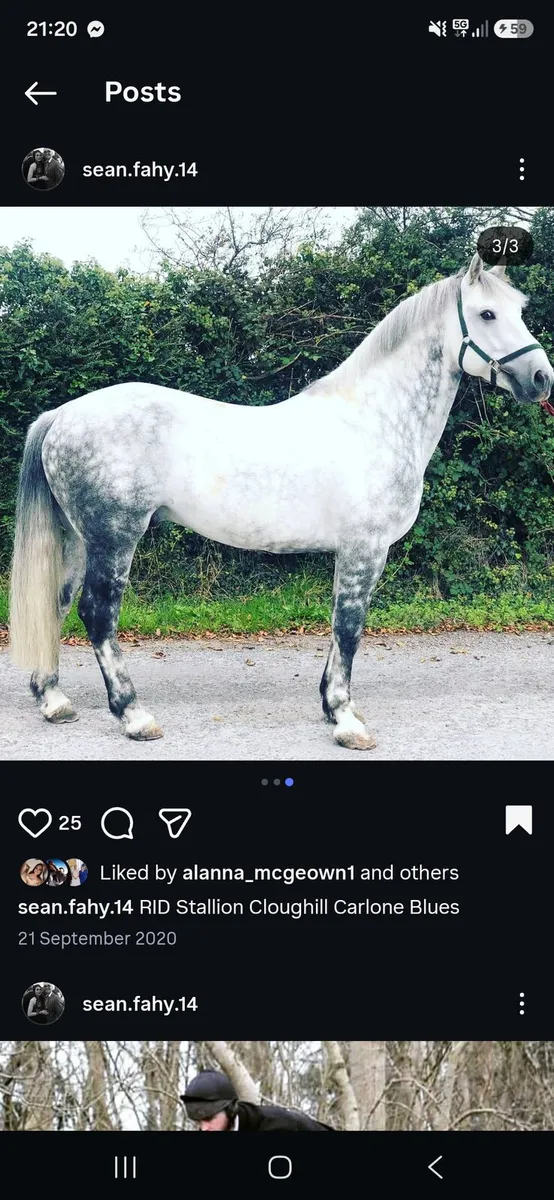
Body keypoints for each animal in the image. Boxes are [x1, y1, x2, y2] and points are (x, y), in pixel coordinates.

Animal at [9, 253, 553, 749]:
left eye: (519, 310)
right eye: (487, 314)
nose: (542, 378)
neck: (374, 420)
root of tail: (63, 415)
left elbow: (340, 626)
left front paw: (331, 708)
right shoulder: (364, 549)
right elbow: (349, 627)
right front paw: (347, 721)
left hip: (79, 538)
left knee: (56, 605)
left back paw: (54, 700)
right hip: (114, 536)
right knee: (98, 614)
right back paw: (133, 715)